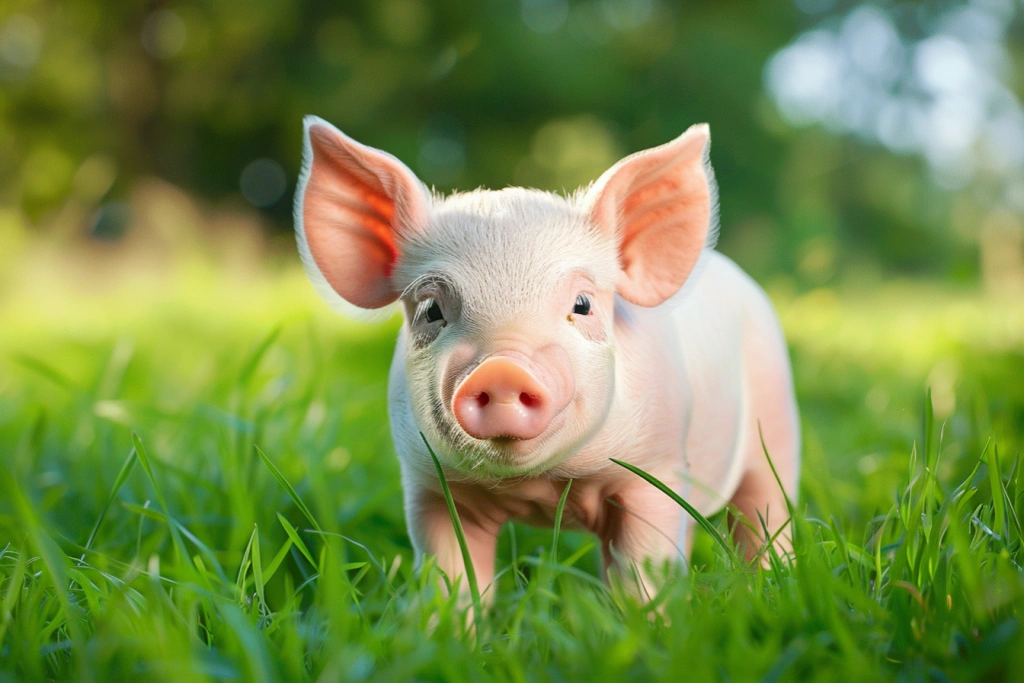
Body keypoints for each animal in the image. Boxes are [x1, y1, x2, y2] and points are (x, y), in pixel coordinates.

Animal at [294, 115, 800, 600]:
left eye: (583, 304)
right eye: (431, 309)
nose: (502, 368)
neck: (542, 488)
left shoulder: (657, 467)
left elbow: (644, 565)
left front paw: (647, 622)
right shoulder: (428, 483)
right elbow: (450, 578)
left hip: (776, 420)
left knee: (765, 511)